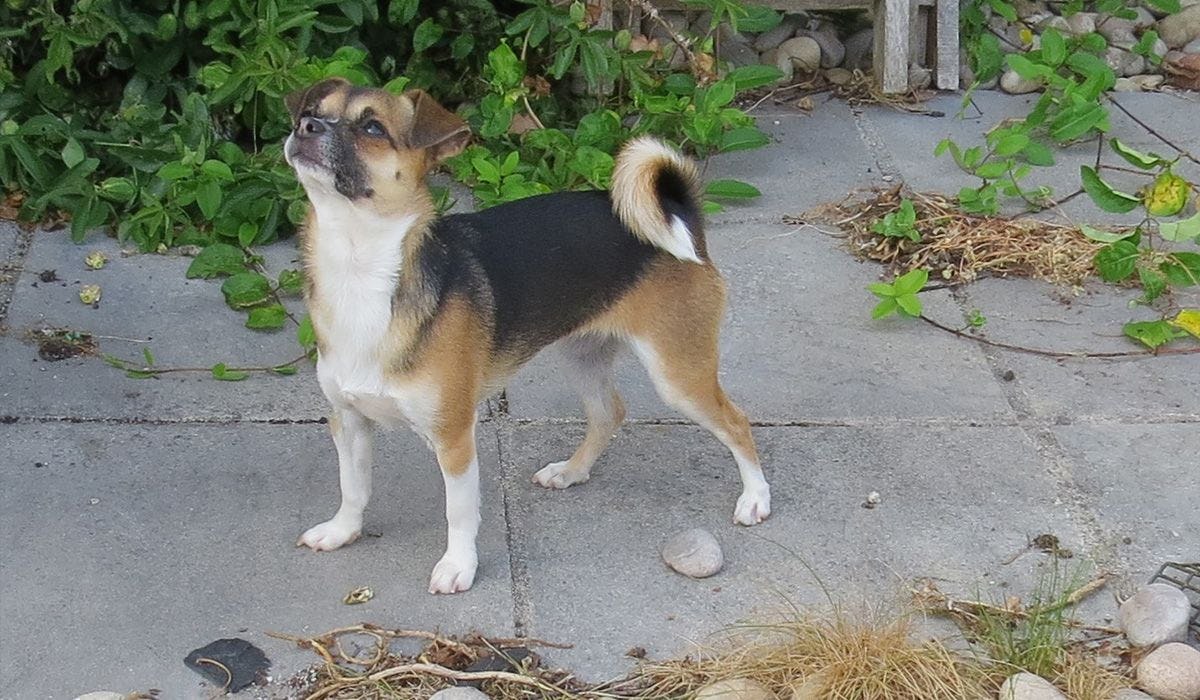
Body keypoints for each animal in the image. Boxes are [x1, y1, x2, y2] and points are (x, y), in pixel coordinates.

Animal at [283, 79, 768, 595]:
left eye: (373, 128)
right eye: (312, 110)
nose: (305, 126)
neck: (360, 269)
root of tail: (682, 212)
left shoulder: (454, 436)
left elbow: (459, 511)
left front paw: (459, 565)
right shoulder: (349, 420)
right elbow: (352, 487)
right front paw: (342, 531)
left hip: (678, 374)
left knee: (736, 422)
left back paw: (756, 498)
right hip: (582, 355)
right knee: (608, 412)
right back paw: (572, 472)